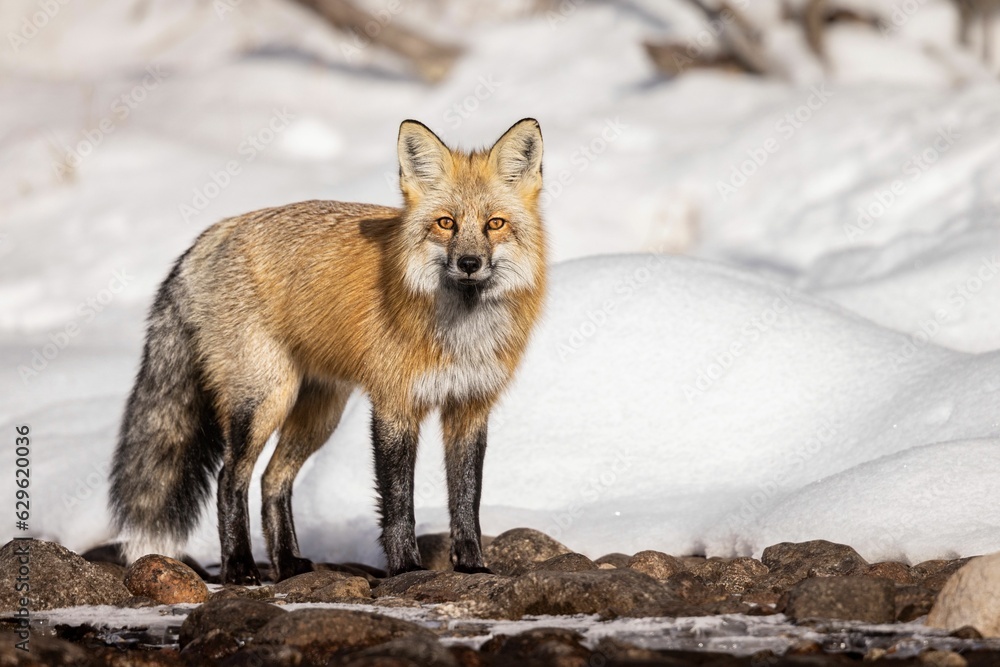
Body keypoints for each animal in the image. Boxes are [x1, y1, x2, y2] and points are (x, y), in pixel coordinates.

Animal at [108, 118, 546, 584]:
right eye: (446, 222)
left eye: (495, 224)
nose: (468, 263)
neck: (461, 334)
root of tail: (215, 232)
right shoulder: (394, 406)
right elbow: (397, 502)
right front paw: (406, 568)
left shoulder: (469, 407)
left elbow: (466, 500)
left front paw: (472, 566)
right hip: (264, 400)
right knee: (230, 480)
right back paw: (241, 567)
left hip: (319, 414)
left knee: (272, 481)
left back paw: (287, 563)